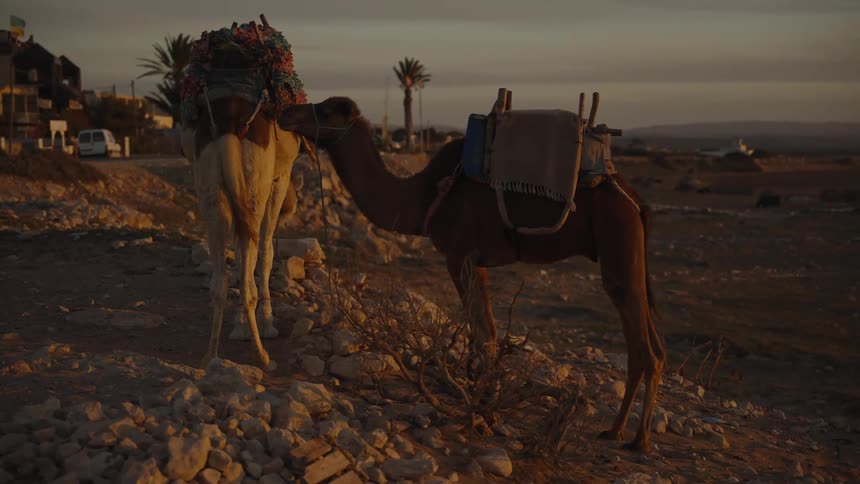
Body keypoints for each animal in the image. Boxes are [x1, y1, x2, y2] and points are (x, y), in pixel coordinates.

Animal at [277, 97, 667, 451]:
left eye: (327, 110)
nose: (285, 111)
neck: (423, 196)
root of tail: (636, 201)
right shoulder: (478, 262)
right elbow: (489, 333)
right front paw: (484, 405)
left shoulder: (459, 256)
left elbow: (480, 335)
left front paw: (480, 411)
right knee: (650, 346)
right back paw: (615, 430)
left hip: (618, 239)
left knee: (643, 344)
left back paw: (639, 439)